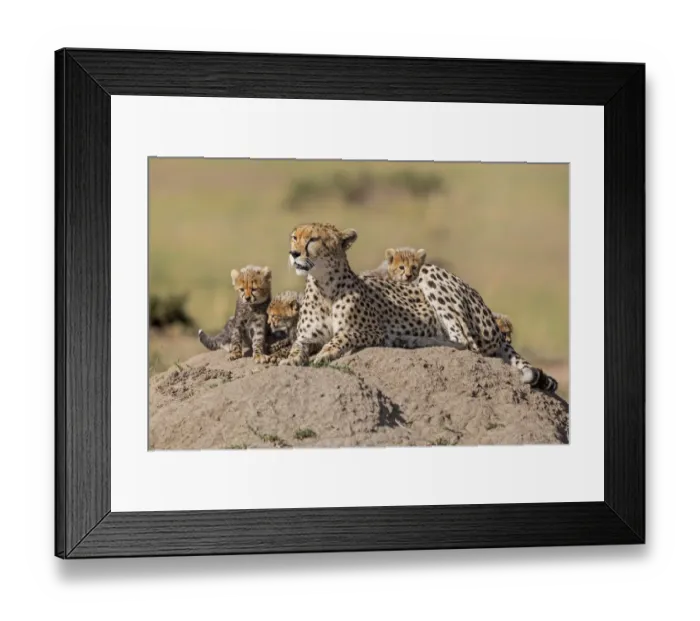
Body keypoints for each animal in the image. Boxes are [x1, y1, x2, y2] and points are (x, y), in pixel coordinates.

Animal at [279, 223, 463, 367]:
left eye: (313, 240)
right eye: (294, 237)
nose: (293, 253)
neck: (323, 286)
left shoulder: (376, 331)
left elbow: (344, 335)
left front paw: (326, 352)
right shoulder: (306, 338)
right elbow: (296, 347)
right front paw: (291, 359)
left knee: (463, 341)